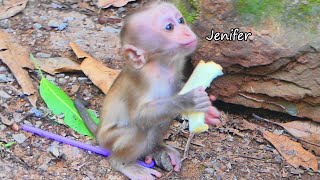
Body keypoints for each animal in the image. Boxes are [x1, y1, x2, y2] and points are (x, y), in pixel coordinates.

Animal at [75, 1, 220, 179]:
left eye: (181, 20)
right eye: (169, 27)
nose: (187, 32)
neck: (160, 65)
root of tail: (99, 132)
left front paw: (209, 112)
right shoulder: (142, 81)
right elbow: (140, 117)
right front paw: (189, 100)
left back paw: (157, 148)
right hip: (109, 139)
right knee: (140, 129)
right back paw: (122, 163)